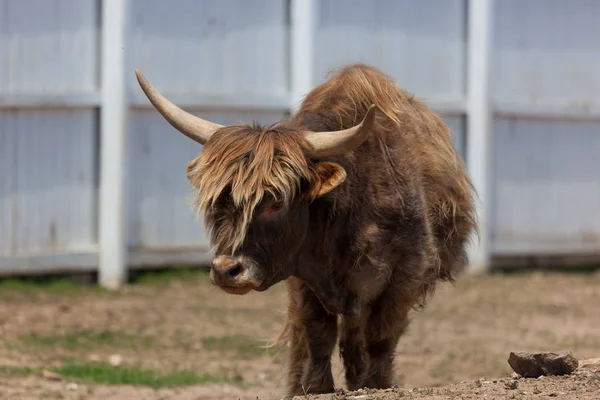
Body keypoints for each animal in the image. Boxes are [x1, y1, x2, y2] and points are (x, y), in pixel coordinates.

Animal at [136, 64, 478, 396]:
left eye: (275, 202)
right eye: (217, 200)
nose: (226, 270)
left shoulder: (406, 274)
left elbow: (380, 337)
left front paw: (376, 384)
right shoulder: (302, 278)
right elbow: (317, 334)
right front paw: (315, 387)